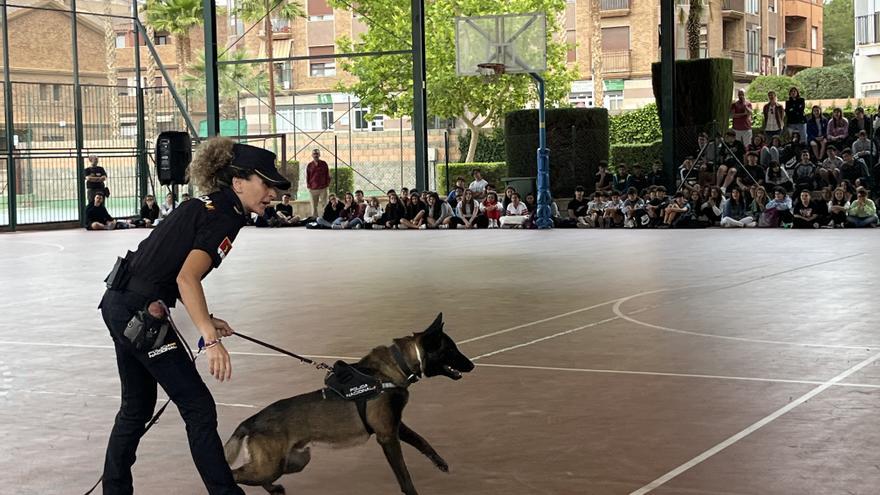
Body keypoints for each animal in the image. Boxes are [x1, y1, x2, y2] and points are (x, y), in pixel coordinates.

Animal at [225, 316, 474, 494]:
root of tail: (252, 420)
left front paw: (439, 462)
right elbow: (404, 476)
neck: (394, 369)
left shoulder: (395, 426)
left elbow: (422, 441)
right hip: (271, 465)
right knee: (235, 474)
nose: (472, 365)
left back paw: (275, 489)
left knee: (261, 478)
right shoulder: (387, 436)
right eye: (450, 350)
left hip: (295, 461)